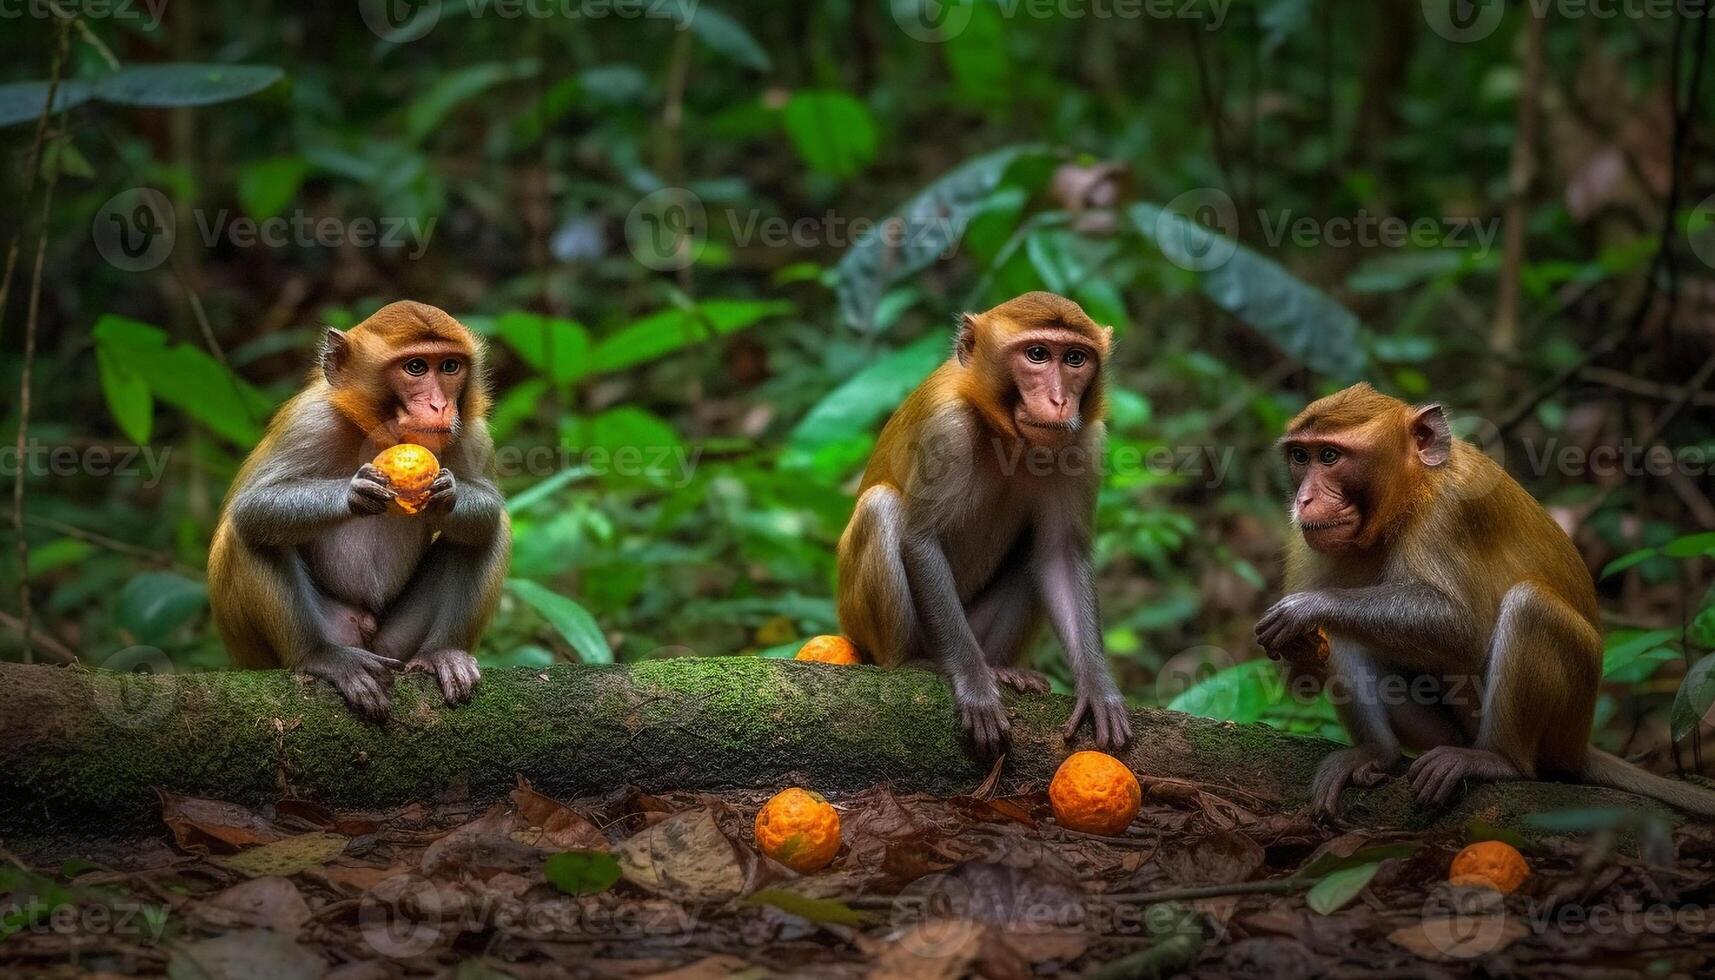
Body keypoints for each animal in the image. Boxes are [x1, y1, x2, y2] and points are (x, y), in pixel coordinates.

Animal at [206, 298, 507, 720]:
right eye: (416, 367)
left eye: (450, 366)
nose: (439, 406)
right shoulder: (310, 420)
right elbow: (254, 505)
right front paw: (356, 493)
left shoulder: (473, 433)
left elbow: (489, 509)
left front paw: (448, 496)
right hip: (316, 636)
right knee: (249, 533)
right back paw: (322, 657)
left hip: (396, 646)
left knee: (488, 533)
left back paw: (441, 652)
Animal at [836, 291, 1131, 758]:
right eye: (1036, 354)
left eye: (1075, 359)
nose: (1059, 401)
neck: (1007, 435)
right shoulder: (948, 427)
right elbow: (921, 540)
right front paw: (974, 684)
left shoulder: (1085, 444)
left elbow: (1061, 555)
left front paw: (1098, 687)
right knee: (881, 508)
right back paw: (914, 663)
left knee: (1032, 554)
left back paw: (1003, 669)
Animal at [1262, 382, 1715, 820]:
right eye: (1301, 456)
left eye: (1330, 455)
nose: (1303, 501)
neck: (1407, 498)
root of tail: (1580, 744)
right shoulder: (1311, 540)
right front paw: (1301, 643)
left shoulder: (1450, 511)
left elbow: (1458, 627)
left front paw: (1308, 607)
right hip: (1442, 733)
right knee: (1349, 634)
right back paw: (1379, 752)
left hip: (1562, 724)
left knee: (1529, 606)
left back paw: (1500, 759)